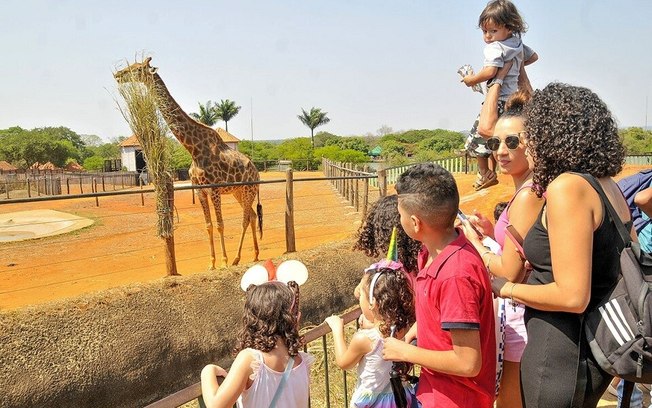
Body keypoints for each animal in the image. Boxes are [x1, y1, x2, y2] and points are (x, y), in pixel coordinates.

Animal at [114, 57, 262, 268]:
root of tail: (256, 171)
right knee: (251, 215)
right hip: (238, 192)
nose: (118, 75)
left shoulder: (214, 189)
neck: (194, 149)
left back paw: (235, 258)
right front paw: (212, 263)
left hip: (248, 189)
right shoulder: (200, 190)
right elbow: (209, 225)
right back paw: (254, 255)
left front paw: (223, 261)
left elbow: (220, 225)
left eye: (137, 68)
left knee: (245, 218)